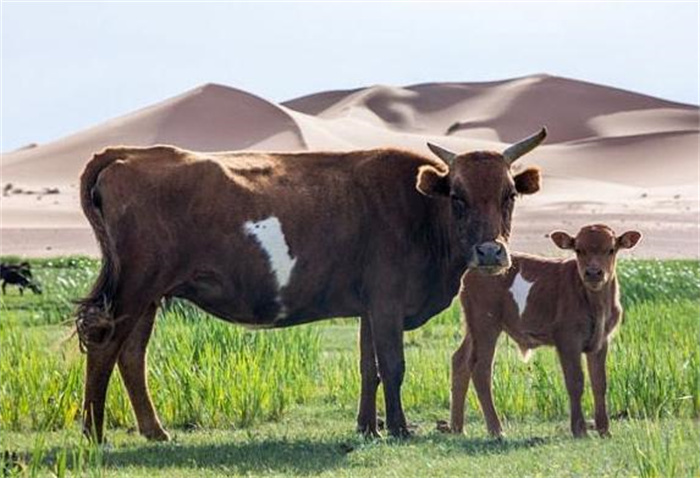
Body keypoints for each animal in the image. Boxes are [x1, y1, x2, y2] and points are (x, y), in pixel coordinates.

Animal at [75, 129, 548, 442]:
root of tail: (129, 153)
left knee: (132, 355)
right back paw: (94, 432)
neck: (419, 210)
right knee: (106, 346)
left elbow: (369, 368)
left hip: (149, 295)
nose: (491, 253)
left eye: (508, 195)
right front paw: (398, 428)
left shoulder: (368, 306)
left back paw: (154, 431)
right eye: (458, 197)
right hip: (133, 288)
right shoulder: (388, 302)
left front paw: (367, 427)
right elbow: (393, 366)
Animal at [446, 224, 644, 436]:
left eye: (611, 250)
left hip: (473, 326)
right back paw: (496, 429)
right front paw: (579, 429)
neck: (597, 304)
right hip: (485, 323)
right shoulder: (567, 339)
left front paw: (604, 430)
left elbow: (600, 382)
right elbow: (575, 382)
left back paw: (457, 427)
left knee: (460, 360)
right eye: (578, 250)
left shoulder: (601, 340)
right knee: (481, 368)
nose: (593, 272)